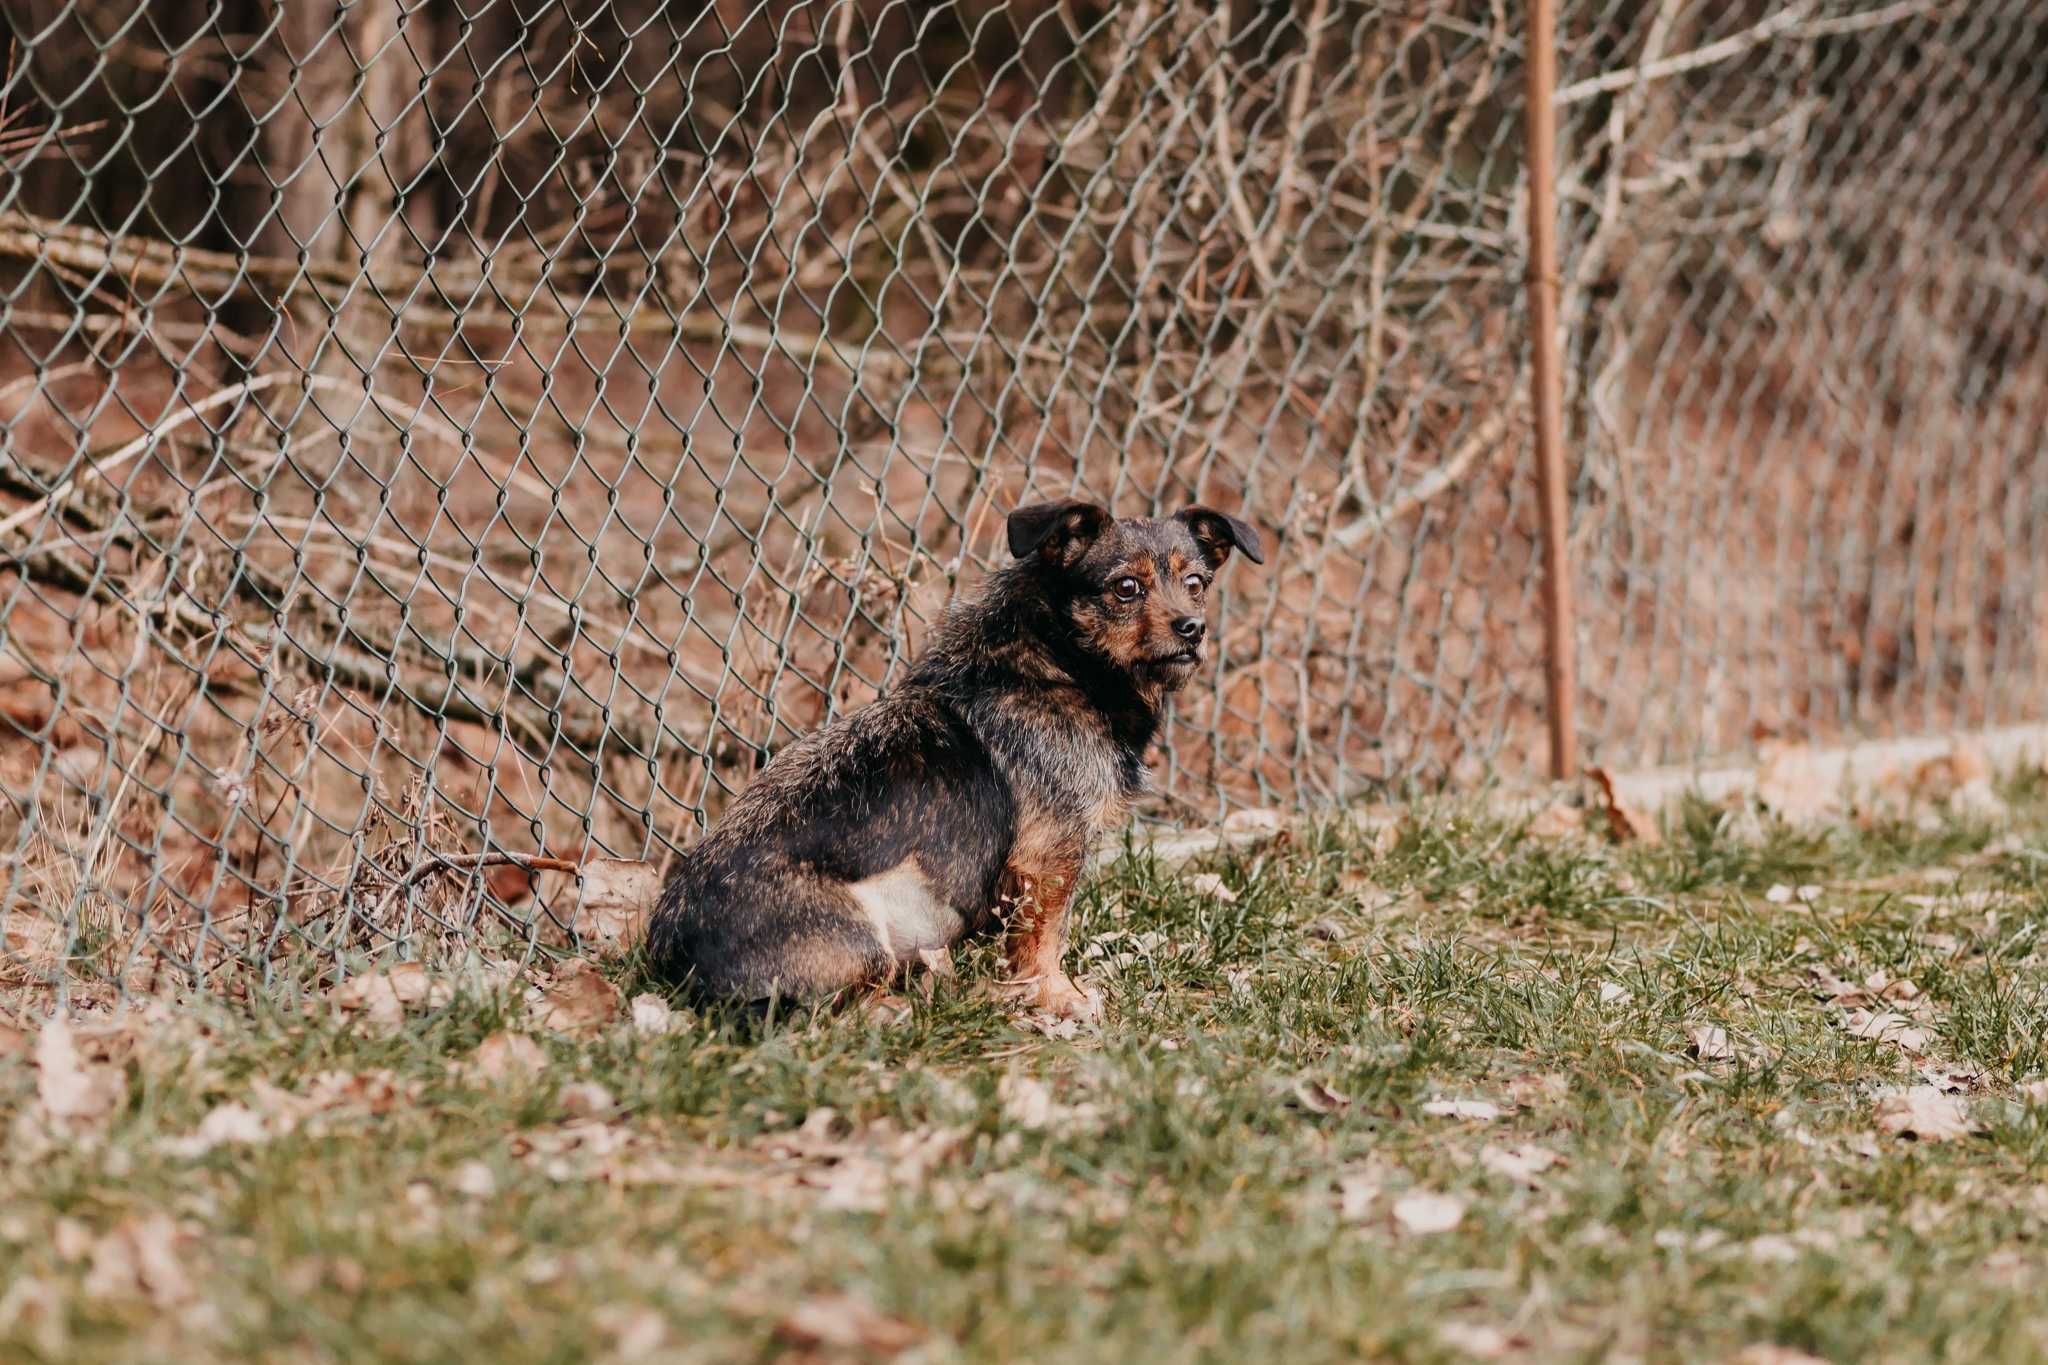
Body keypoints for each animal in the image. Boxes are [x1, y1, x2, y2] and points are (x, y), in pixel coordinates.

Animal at [651, 499, 1261, 1015]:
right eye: (1126, 587)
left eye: (1196, 583)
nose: (1192, 629)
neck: (1060, 666)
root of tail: (671, 958)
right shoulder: (1050, 856)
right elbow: (1045, 940)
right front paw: (1058, 998)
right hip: (864, 932)